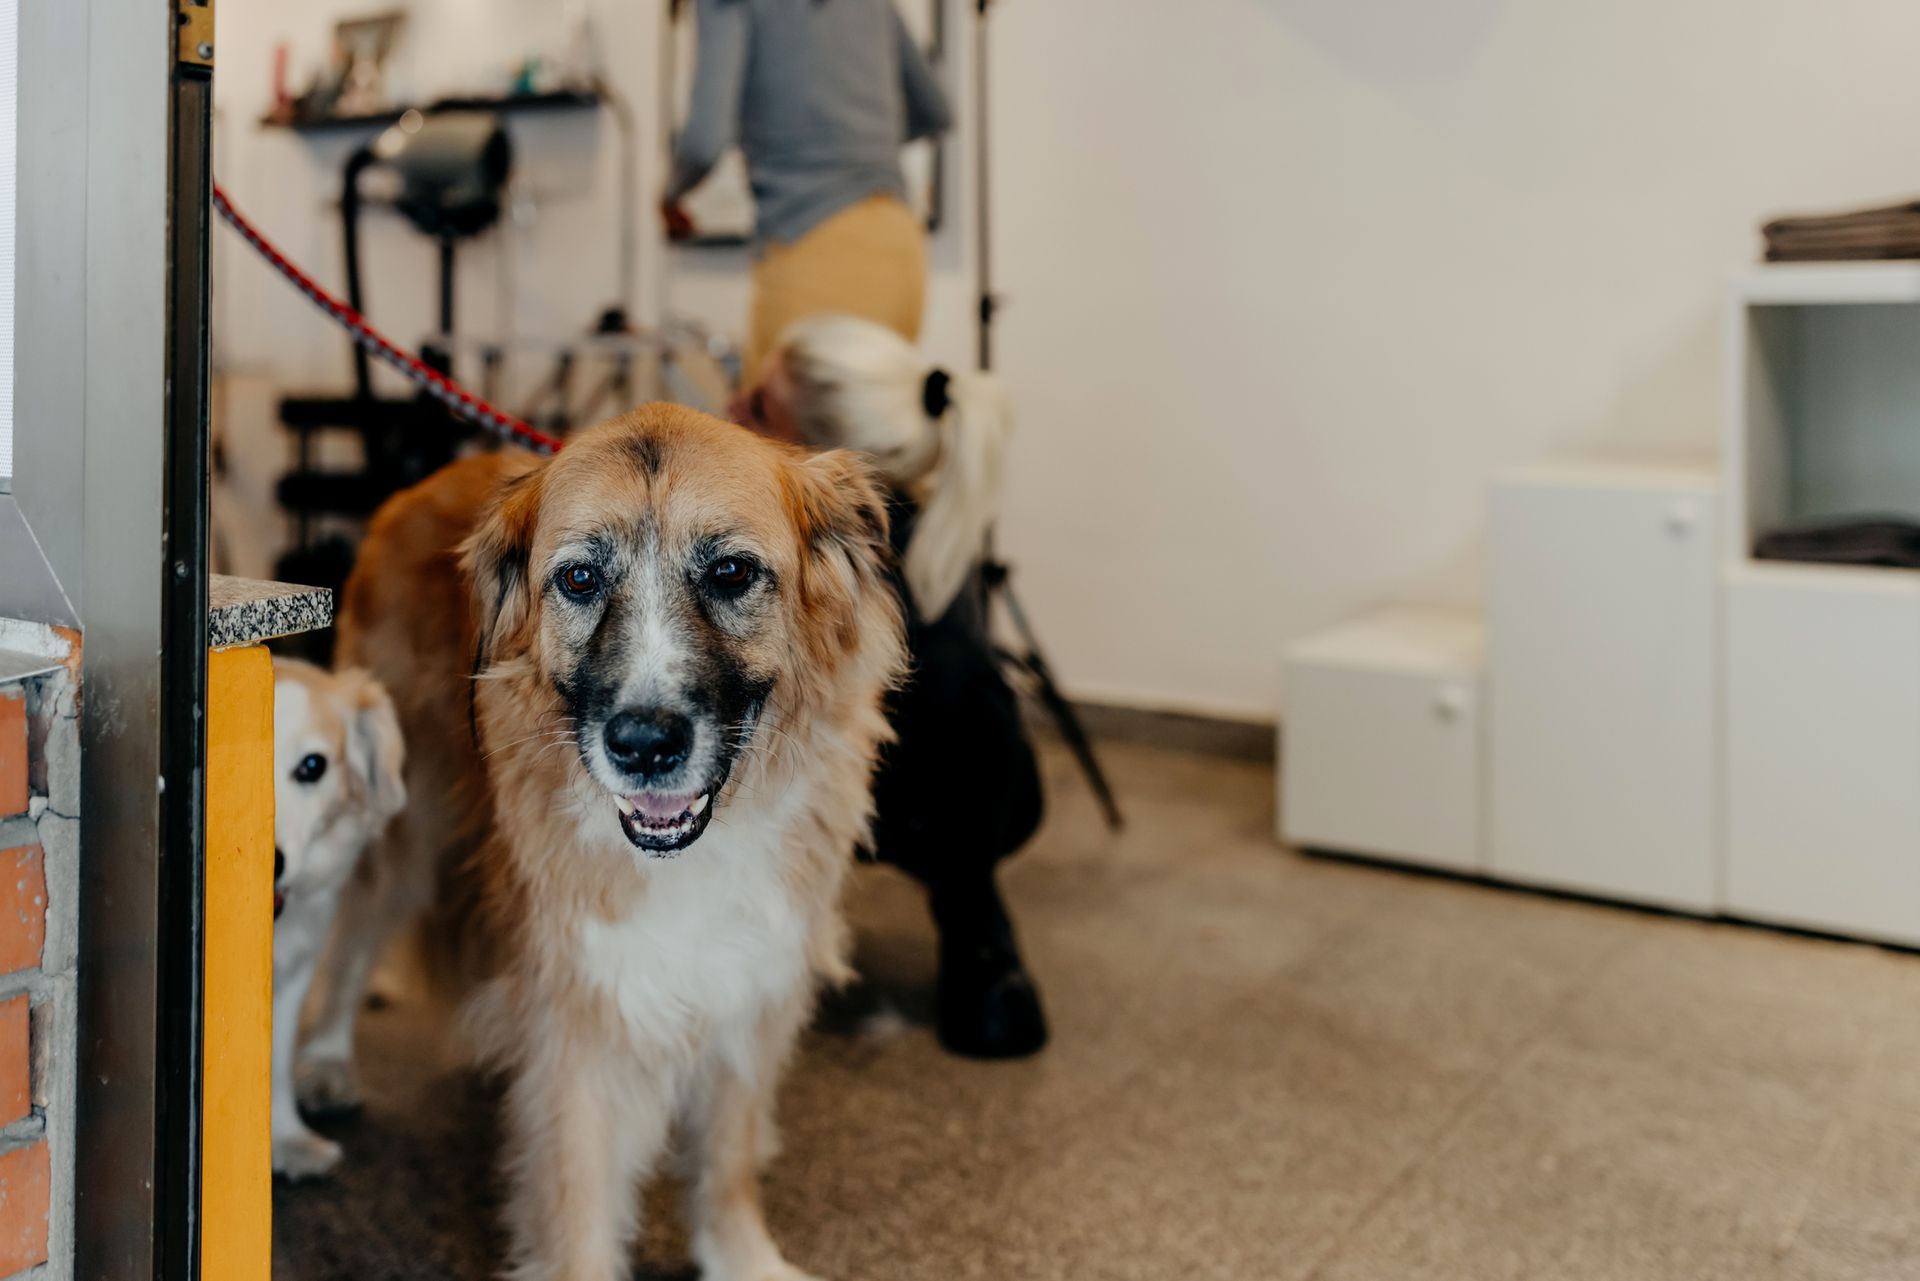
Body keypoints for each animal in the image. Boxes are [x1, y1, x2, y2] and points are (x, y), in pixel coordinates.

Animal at [307, 409, 906, 1281]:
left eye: (731, 571)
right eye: (581, 579)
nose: (644, 744)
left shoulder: (751, 985)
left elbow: (726, 1158)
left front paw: (743, 1254)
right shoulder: (580, 1023)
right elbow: (577, 1197)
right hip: (405, 826)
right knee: (353, 936)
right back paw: (323, 1058)